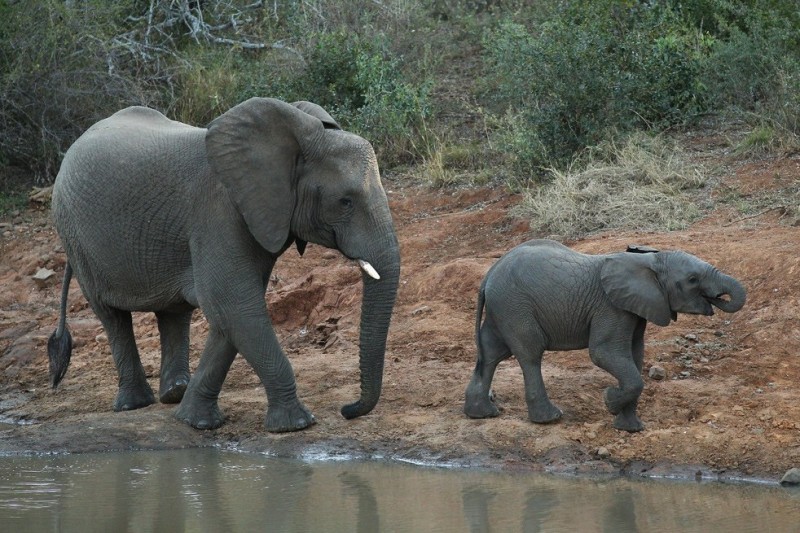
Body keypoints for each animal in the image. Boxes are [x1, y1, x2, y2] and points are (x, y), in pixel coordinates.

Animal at [48, 97, 400, 432]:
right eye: (345, 201)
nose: (347, 409)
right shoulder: (219, 211)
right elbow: (235, 305)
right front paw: (295, 425)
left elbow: (231, 315)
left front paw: (194, 421)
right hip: (74, 236)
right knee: (112, 316)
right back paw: (134, 404)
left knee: (174, 312)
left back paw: (175, 393)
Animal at [466, 239, 748, 430]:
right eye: (692, 280)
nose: (717, 298)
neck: (649, 261)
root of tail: (489, 275)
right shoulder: (611, 307)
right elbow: (604, 353)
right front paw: (610, 401)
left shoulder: (636, 308)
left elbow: (635, 356)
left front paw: (630, 428)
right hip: (515, 306)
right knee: (530, 354)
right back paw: (549, 418)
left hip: (503, 308)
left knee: (491, 354)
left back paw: (482, 414)